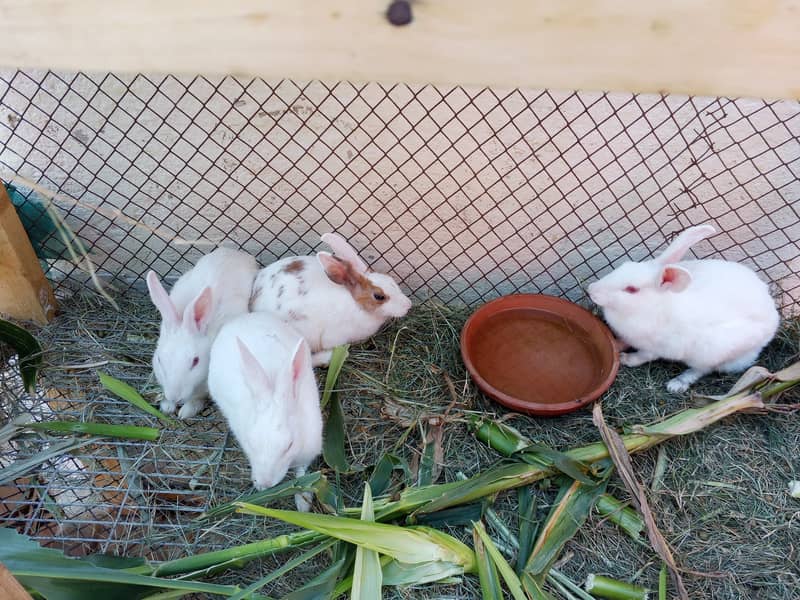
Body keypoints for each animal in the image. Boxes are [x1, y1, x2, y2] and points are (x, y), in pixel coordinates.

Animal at [146, 247, 258, 419]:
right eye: (159, 359)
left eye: (195, 361)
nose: (175, 396)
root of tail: (233, 251)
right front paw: (167, 406)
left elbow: (198, 398)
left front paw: (186, 411)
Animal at [207, 311, 322, 511]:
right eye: (251, 442)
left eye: (290, 445)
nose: (266, 483)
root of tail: (245, 317)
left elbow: (302, 472)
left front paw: (303, 503)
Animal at [586, 224, 780, 393]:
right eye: (624, 265)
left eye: (631, 289)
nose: (591, 289)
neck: (651, 307)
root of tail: (773, 319)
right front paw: (617, 345)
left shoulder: (656, 348)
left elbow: (643, 357)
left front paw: (625, 359)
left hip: (713, 352)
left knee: (702, 369)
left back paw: (677, 384)